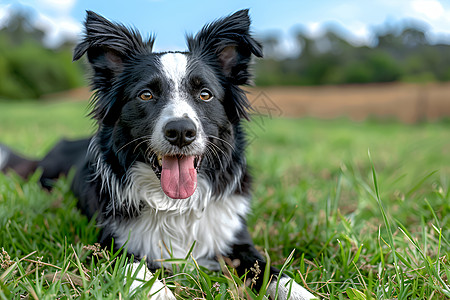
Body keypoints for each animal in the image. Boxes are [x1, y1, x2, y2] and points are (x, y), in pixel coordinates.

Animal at [0, 9, 316, 300]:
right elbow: (139, 270)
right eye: (146, 95)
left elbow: (273, 272)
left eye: (204, 94)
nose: (181, 131)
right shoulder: (110, 245)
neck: (175, 204)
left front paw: (301, 292)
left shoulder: (235, 239)